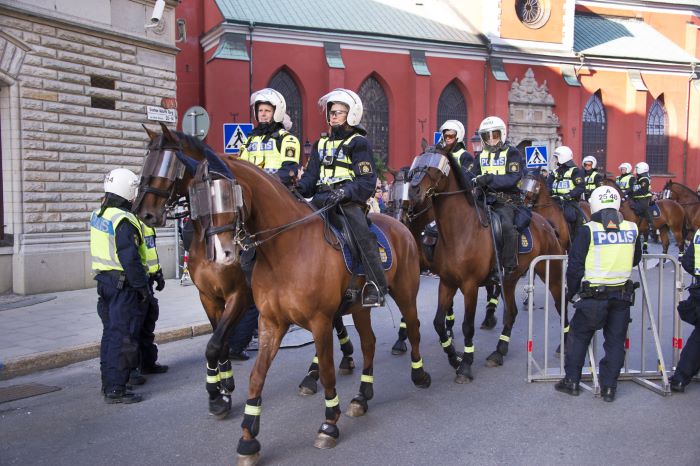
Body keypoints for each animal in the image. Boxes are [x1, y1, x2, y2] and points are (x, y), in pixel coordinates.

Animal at [133, 124, 356, 418]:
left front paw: (217, 393)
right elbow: (219, 342)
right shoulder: (209, 297)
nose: (143, 212)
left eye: (169, 163)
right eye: (147, 159)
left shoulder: (239, 295)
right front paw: (222, 387)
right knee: (335, 317)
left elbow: (215, 343)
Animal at [183, 152, 430, 462]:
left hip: (406, 294)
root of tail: (401, 226)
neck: (285, 249)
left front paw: (329, 424)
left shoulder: (320, 321)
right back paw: (362, 396)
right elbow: (256, 376)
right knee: (369, 343)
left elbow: (326, 371)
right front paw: (249, 438)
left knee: (415, 329)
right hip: (360, 308)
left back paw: (419, 374)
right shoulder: (271, 322)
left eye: (226, 196)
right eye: (196, 200)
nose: (221, 254)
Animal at [408, 149, 568, 382]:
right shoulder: (447, 283)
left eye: (434, 165)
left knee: (560, 304)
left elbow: (467, 326)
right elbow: (438, 323)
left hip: (552, 272)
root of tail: (547, 224)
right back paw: (499, 352)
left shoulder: (469, 286)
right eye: (417, 162)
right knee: (511, 313)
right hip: (509, 280)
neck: (460, 230)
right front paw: (454, 357)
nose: (413, 190)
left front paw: (465, 365)